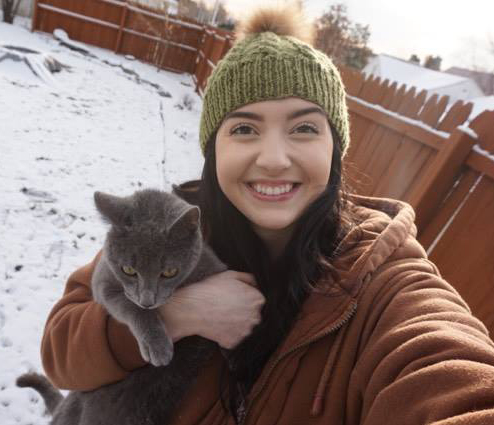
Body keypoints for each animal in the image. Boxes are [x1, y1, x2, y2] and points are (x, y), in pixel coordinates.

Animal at [17, 188, 228, 425]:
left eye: (169, 272)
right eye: (128, 270)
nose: (147, 301)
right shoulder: (103, 283)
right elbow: (130, 307)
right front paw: (157, 346)